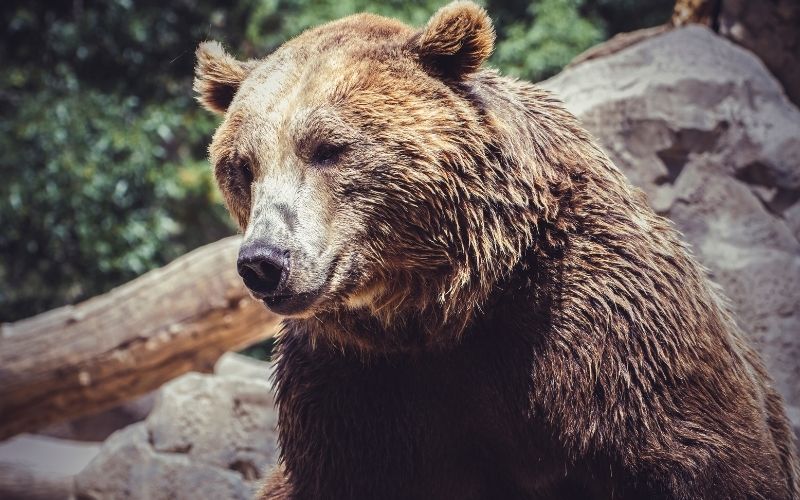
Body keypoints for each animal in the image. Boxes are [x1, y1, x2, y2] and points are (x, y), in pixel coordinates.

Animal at [195, 1, 800, 498]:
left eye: (327, 148)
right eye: (242, 166)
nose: (264, 262)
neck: (445, 308)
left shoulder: (608, 339)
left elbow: (704, 458)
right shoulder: (353, 384)